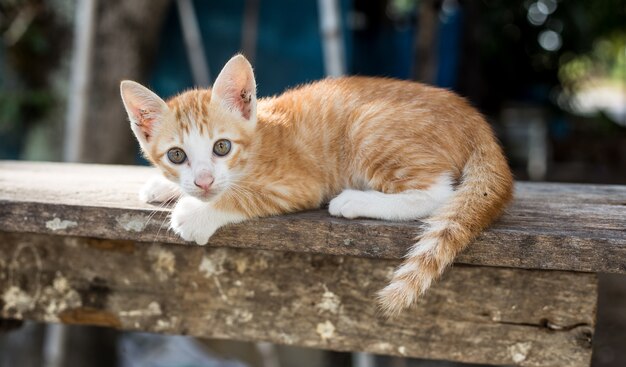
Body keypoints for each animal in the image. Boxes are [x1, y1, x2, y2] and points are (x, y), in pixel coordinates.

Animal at [119, 54, 510, 316]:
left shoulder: (298, 184)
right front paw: (164, 187)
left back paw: (353, 201)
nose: (203, 180)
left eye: (221, 147)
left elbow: (242, 196)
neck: (260, 136)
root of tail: (475, 120)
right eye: (176, 155)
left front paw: (195, 213)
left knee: (439, 192)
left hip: (368, 127)